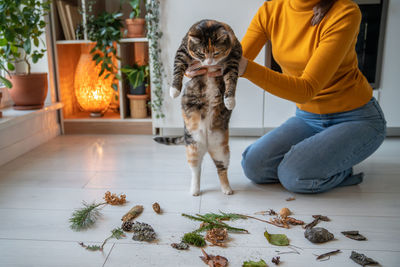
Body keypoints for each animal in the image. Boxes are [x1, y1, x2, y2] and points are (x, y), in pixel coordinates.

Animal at [154, 18, 242, 195]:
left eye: (216, 53)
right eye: (201, 53)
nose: (208, 62)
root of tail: (206, 143)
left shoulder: (234, 56)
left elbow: (231, 79)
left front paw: (229, 100)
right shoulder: (182, 51)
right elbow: (178, 68)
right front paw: (174, 90)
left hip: (222, 150)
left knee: (221, 169)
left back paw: (227, 189)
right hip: (193, 146)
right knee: (196, 170)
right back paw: (195, 190)